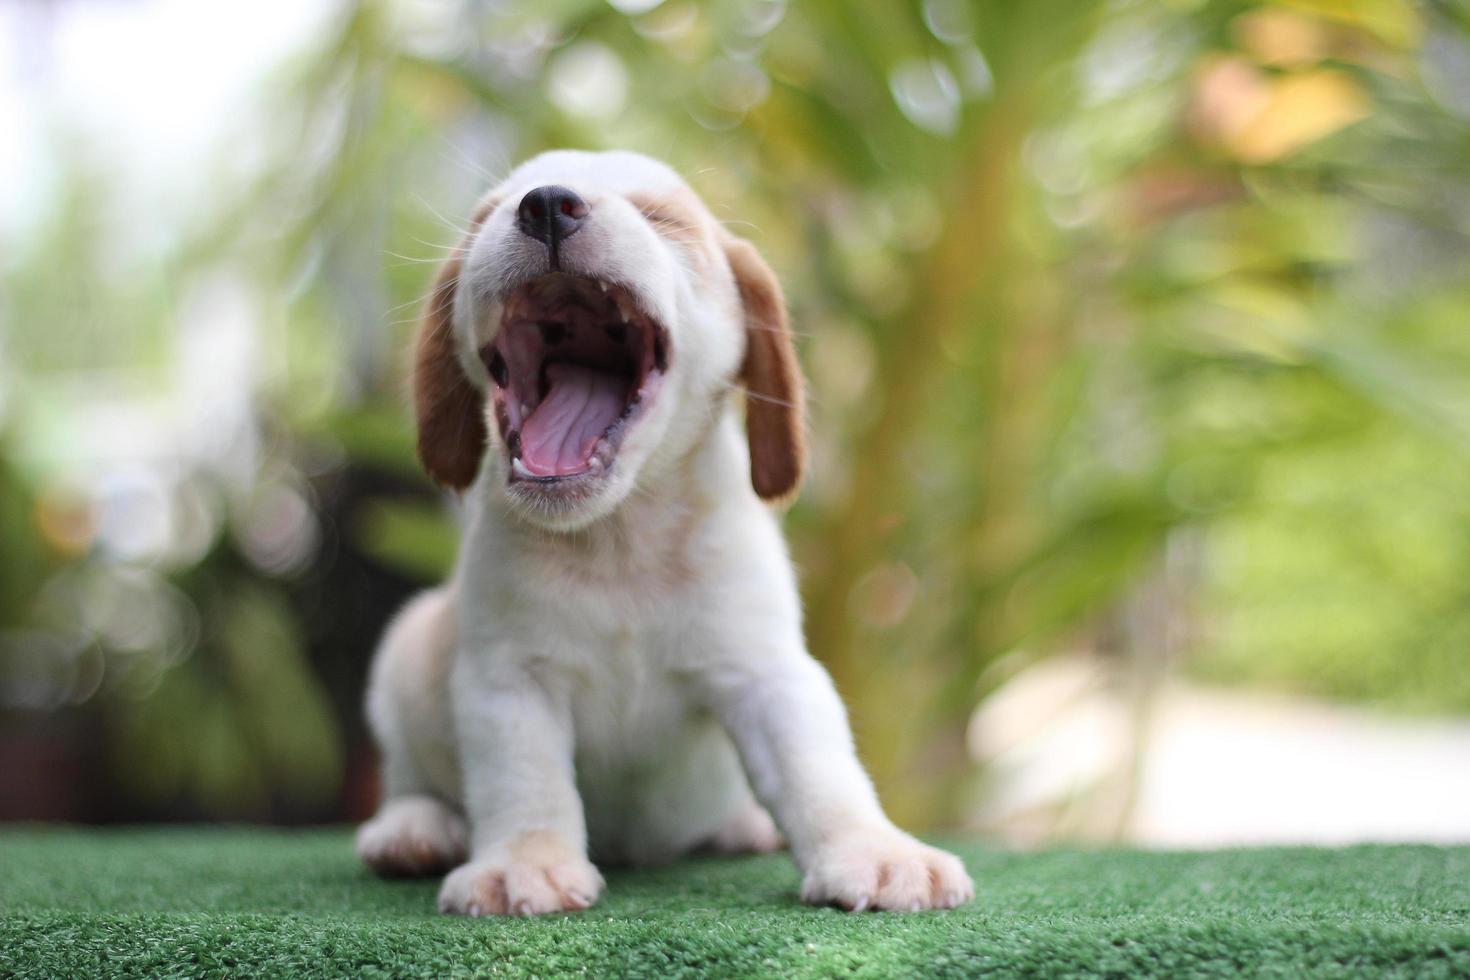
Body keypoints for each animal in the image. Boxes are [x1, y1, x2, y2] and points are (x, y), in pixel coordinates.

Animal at [355, 149, 976, 916]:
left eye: (663, 219)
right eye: (486, 216)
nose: (546, 205)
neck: (621, 538)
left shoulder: (770, 675)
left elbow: (820, 773)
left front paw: (875, 851)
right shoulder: (510, 683)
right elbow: (524, 784)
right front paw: (525, 862)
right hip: (405, 659)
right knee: (411, 778)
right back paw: (414, 828)